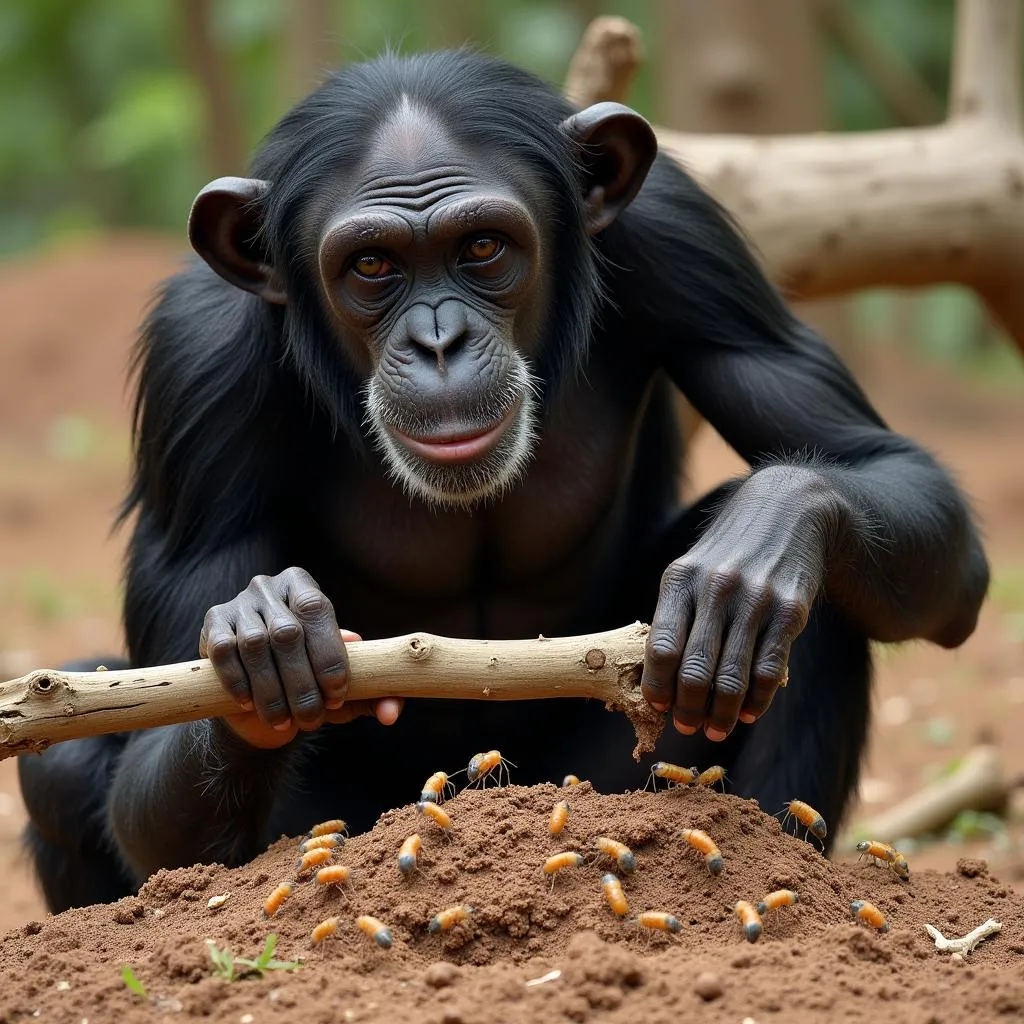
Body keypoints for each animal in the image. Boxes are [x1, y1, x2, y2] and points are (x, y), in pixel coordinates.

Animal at [19, 49, 987, 913]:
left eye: (482, 246)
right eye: (372, 266)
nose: (438, 341)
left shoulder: (687, 242)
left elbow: (873, 467)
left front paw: (763, 541)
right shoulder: (197, 359)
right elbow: (153, 789)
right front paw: (264, 632)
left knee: (818, 608)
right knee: (63, 761)